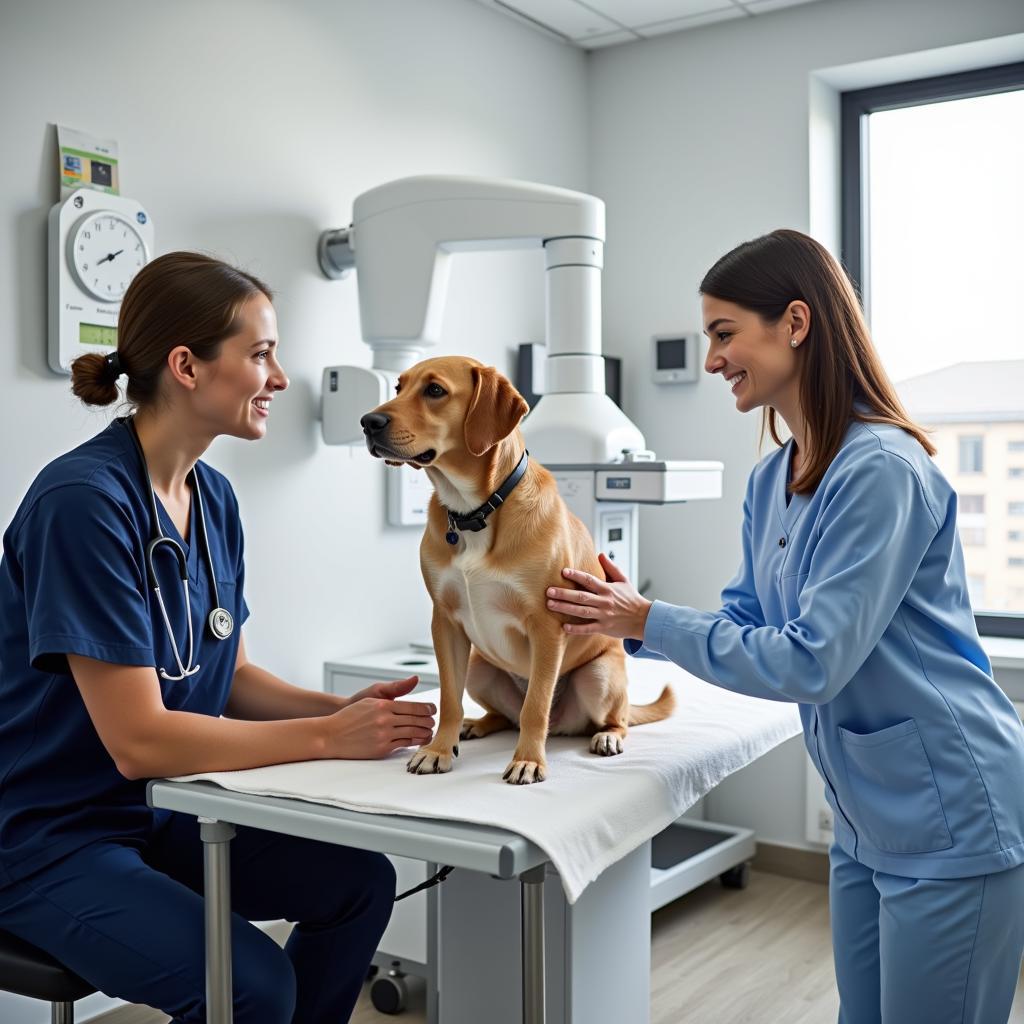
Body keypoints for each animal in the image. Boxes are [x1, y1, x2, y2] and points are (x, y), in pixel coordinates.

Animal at [356, 356, 675, 786]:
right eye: (398, 387)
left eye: (435, 390)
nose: (367, 421)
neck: (475, 512)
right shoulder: (446, 623)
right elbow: (449, 698)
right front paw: (439, 749)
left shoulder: (546, 626)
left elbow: (535, 706)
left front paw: (528, 760)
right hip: (479, 667)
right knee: (503, 715)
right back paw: (475, 725)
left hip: (598, 676)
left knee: (611, 717)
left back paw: (607, 736)